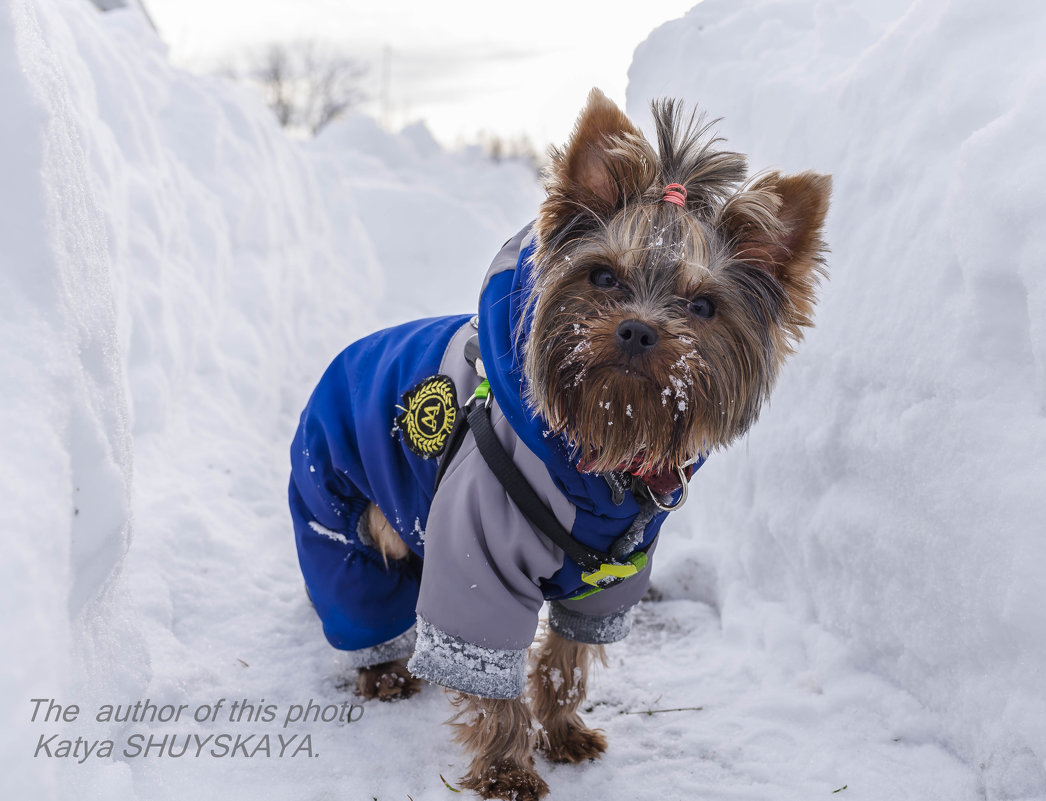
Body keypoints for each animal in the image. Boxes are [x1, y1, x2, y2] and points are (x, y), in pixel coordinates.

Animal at [290, 89, 828, 801]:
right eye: (602, 277)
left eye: (704, 306)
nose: (637, 330)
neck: (596, 456)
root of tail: (345, 356)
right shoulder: (476, 558)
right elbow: (488, 665)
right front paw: (507, 770)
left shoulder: (607, 581)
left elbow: (566, 657)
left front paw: (565, 732)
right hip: (332, 502)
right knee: (351, 584)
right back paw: (382, 670)